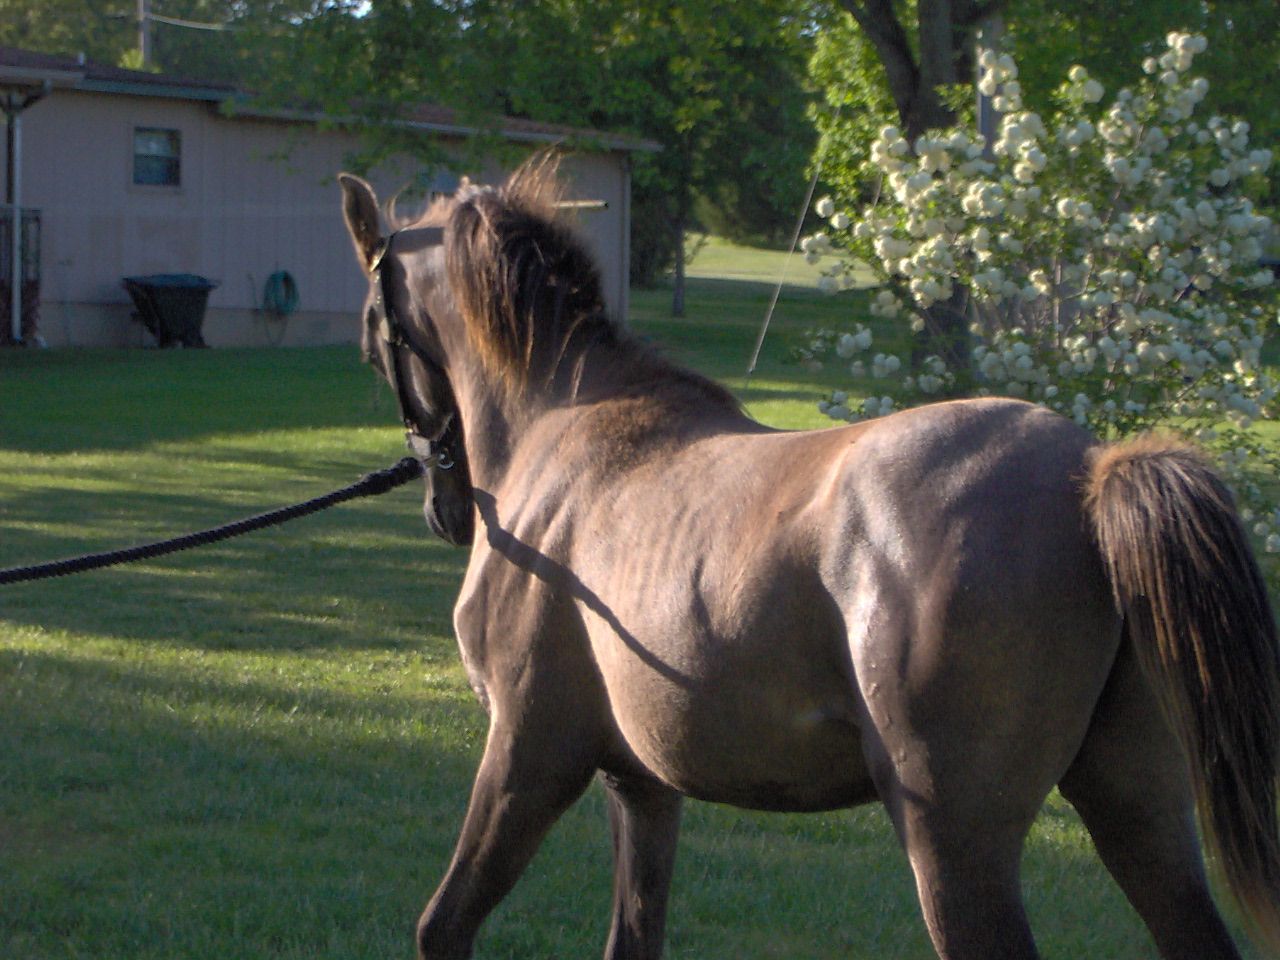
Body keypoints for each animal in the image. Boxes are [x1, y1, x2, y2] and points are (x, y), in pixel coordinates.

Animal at [338, 158, 1280, 960]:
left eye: (372, 335)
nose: (443, 509)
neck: (565, 424)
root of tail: (1091, 473)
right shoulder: (642, 786)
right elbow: (633, 936)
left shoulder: (528, 753)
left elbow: (443, 926)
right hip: (1139, 809)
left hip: (955, 844)